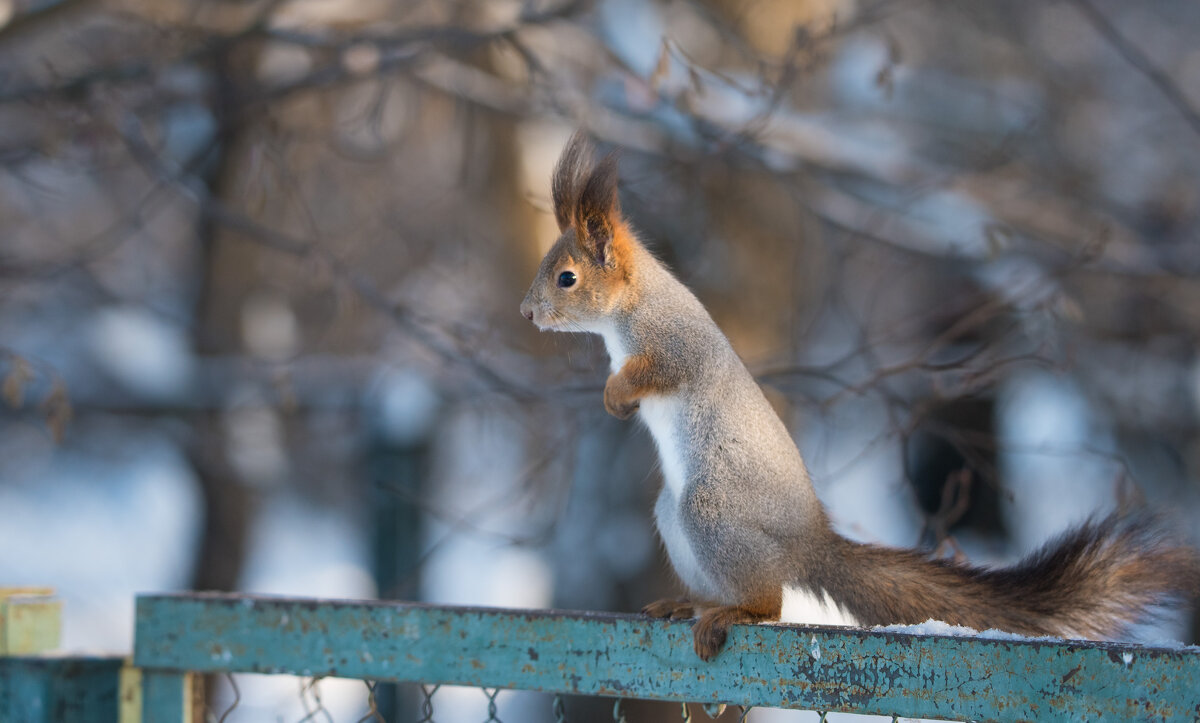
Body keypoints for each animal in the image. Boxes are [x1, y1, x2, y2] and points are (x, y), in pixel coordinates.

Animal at [523, 129, 1200, 658]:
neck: (628, 313)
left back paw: (728, 613)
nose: (527, 314)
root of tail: (807, 545)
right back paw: (687, 605)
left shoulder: (673, 346)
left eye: (567, 278)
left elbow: (657, 371)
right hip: (677, 515)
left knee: (769, 605)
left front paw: (616, 395)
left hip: (710, 512)